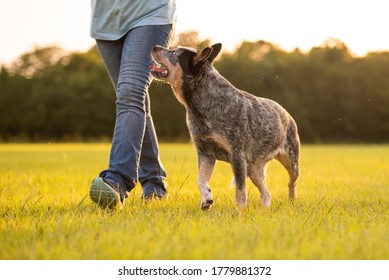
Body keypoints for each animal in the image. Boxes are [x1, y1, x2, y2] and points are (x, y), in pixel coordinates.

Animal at [150, 43, 298, 210]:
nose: (155, 46)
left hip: (291, 162)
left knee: (291, 183)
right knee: (266, 193)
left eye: (174, 52)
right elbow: (200, 180)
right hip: (253, 168)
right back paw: (264, 209)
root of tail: (286, 113)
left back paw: (292, 201)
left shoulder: (237, 155)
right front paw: (206, 200)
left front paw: (240, 211)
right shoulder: (205, 153)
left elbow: (240, 189)